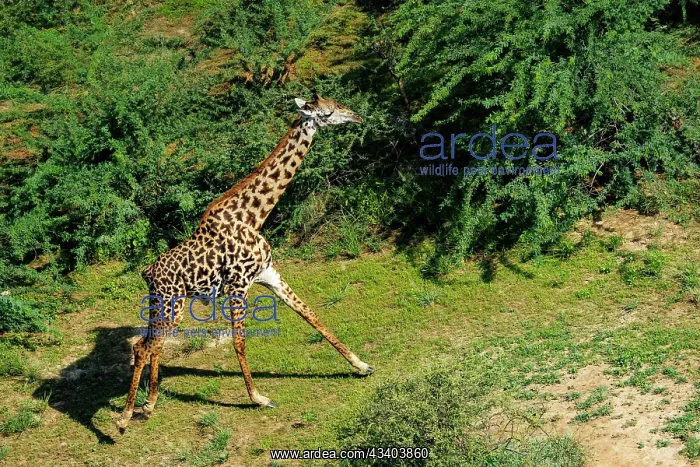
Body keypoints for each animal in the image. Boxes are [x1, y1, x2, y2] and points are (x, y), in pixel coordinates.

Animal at [116, 91, 372, 433]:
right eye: (329, 111)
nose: (357, 116)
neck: (253, 216)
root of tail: (147, 272)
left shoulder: (268, 273)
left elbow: (310, 314)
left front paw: (361, 365)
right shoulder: (238, 285)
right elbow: (239, 342)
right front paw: (259, 398)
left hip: (167, 305)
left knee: (150, 344)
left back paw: (150, 403)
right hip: (172, 304)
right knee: (143, 346)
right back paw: (124, 417)